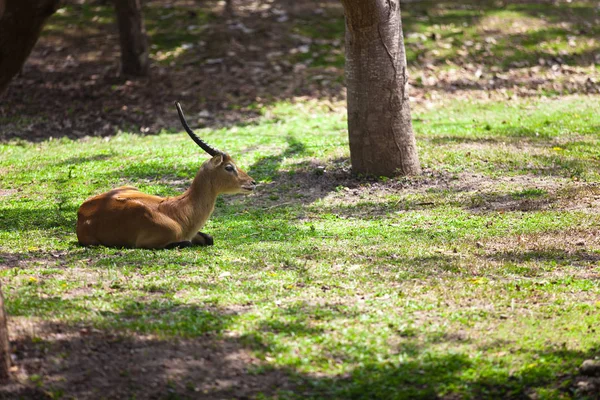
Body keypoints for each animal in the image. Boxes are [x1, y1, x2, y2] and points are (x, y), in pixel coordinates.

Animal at [75, 101, 255, 248]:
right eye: (229, 167)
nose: (252, 182)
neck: (178, 211)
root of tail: (81, 210)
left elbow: (209, 238)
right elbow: (186, 243)